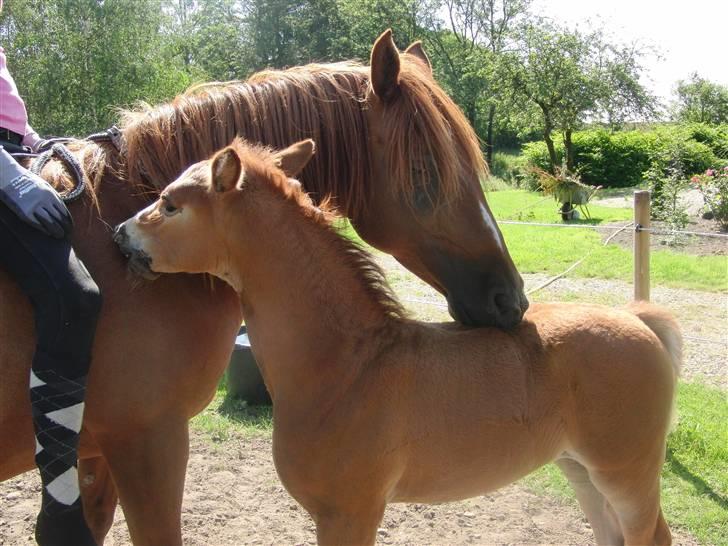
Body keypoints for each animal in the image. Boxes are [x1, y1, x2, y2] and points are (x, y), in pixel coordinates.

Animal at [115, 138, 684, 540]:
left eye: (169, 205)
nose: (120, 235)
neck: (346, 365)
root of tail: (639, 322)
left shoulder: (351, 512)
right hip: (581, 471)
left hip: (626, 473)